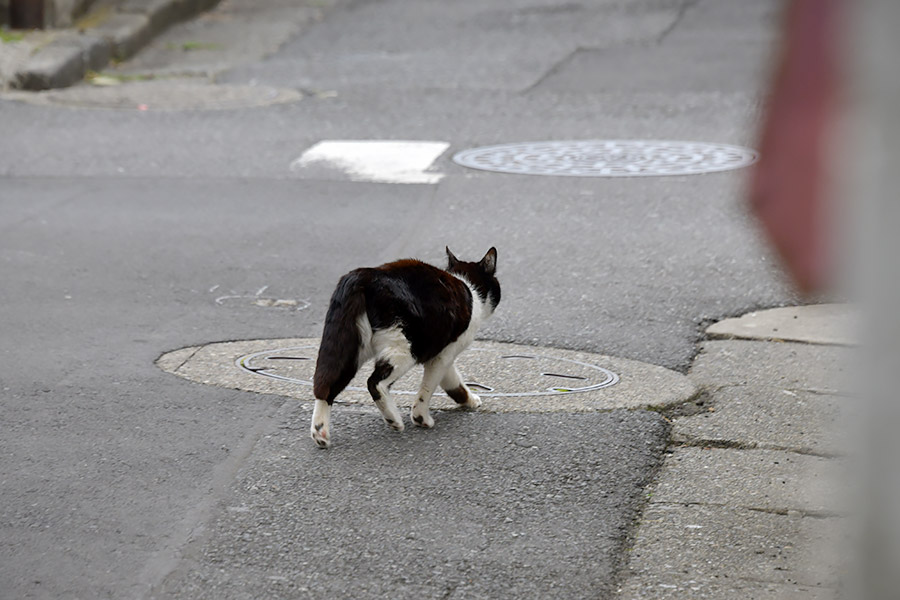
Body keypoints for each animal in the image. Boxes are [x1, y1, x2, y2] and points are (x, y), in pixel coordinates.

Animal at [312, 246, 502, 448]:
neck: (468, 286)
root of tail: (363, 275)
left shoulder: (444, 354)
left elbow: (453, 382)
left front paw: (469, 400)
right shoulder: (442, 355)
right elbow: (428, 388)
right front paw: (421, 418)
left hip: (347, 344)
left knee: (326, 384)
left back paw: (320, 433)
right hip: (406, 346)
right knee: (375, 382)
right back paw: (393, 419)